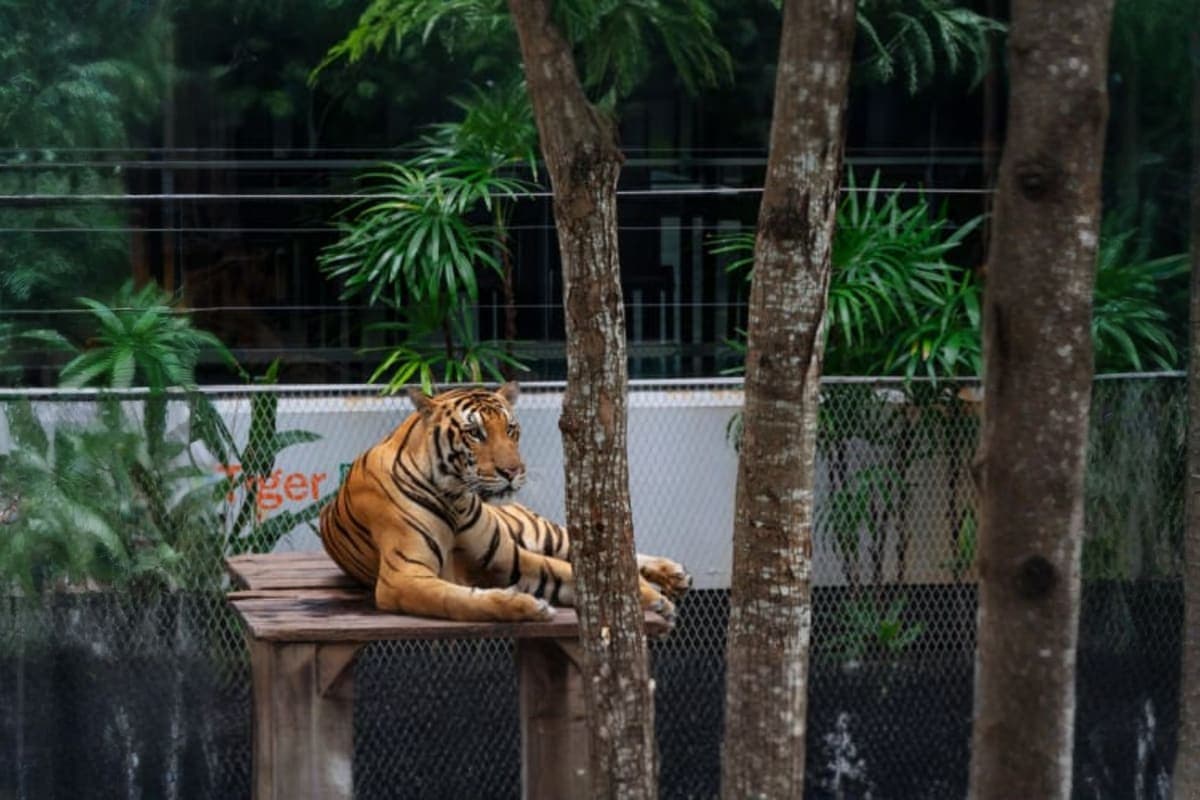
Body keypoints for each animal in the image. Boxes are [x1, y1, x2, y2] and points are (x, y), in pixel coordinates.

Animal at [319, 382, 691, 624]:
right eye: (475, 433)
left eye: (511, 429)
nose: (513, 471)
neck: (455, 495)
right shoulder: (403, 577)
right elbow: (457, 600)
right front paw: (525, 606)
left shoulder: (511, 556)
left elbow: (569, 573)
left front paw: (651, 598)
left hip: (540, 533)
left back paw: (673, 574)